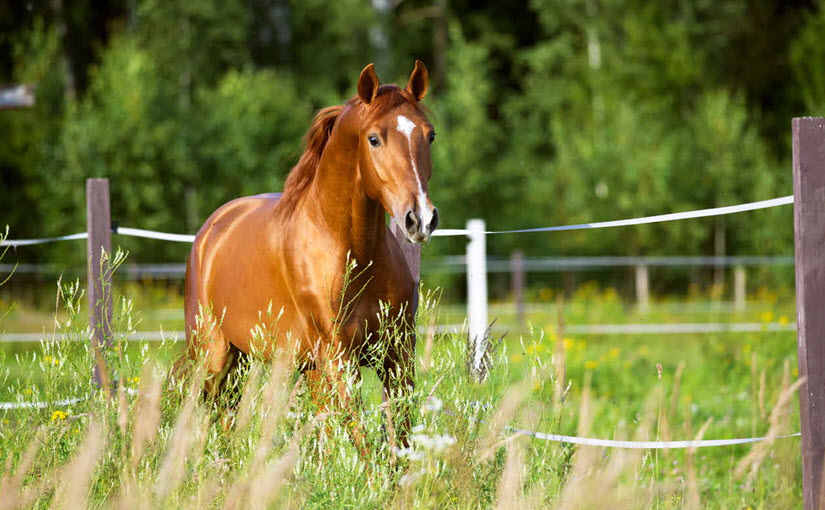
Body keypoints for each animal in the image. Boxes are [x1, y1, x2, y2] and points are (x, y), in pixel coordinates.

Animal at [181, 58, 438, 442]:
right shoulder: (339, 359)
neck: (352, 252)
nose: (420, 218)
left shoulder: (397, 355)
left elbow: (399, 438)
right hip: (214, 356)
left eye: (429, 135)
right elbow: (361, 441)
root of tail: (211, 229)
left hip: (267, 362)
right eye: (374, 139)